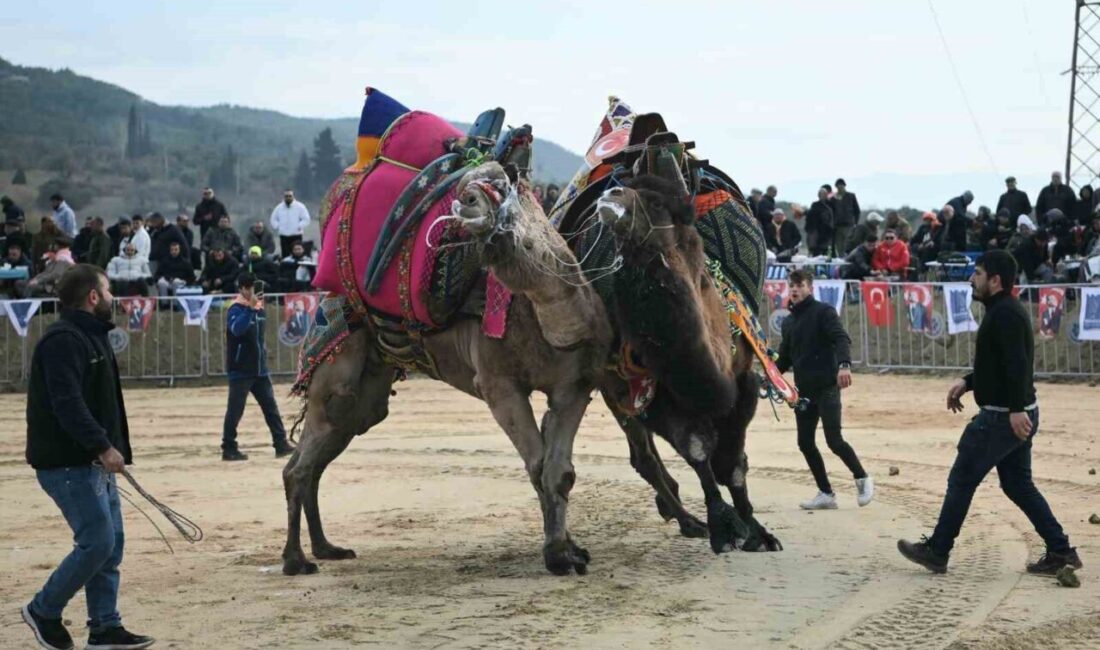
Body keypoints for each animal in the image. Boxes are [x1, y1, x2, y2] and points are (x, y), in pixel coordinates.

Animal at [281, 161, 611, 576]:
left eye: (492, 191)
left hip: (367, 392)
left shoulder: (573, 387)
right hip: (335, 369)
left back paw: (327, 548)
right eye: (469, 192)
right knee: (303, 461)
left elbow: (560, 471)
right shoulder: (499, 385)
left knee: (322, 453)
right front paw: (554, 554)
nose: (464, 204)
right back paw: (295, 560)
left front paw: (570, 552)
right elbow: (538, 467)